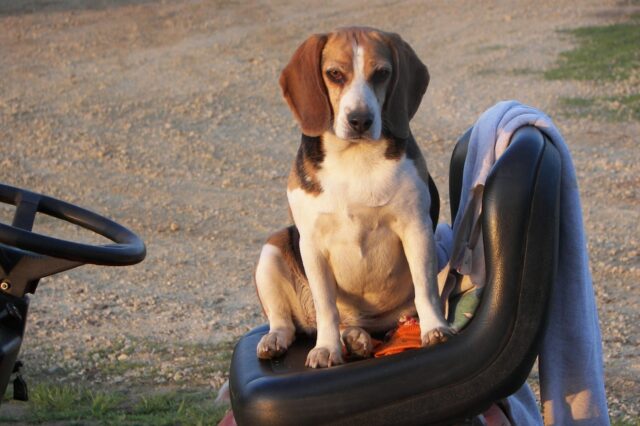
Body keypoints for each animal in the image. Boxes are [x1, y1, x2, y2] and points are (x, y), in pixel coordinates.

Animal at [252, 26, 452, 368]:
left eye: (382, 73)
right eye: (334, 74)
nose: (360, 119)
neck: (354, 158)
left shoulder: (417, 228)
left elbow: (424, 288)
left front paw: (434, 329)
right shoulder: (312, 245)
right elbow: (327, 307)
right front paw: (326, 348)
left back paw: (358, 339)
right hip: (272, 250)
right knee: (287, 322)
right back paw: (282, 340)